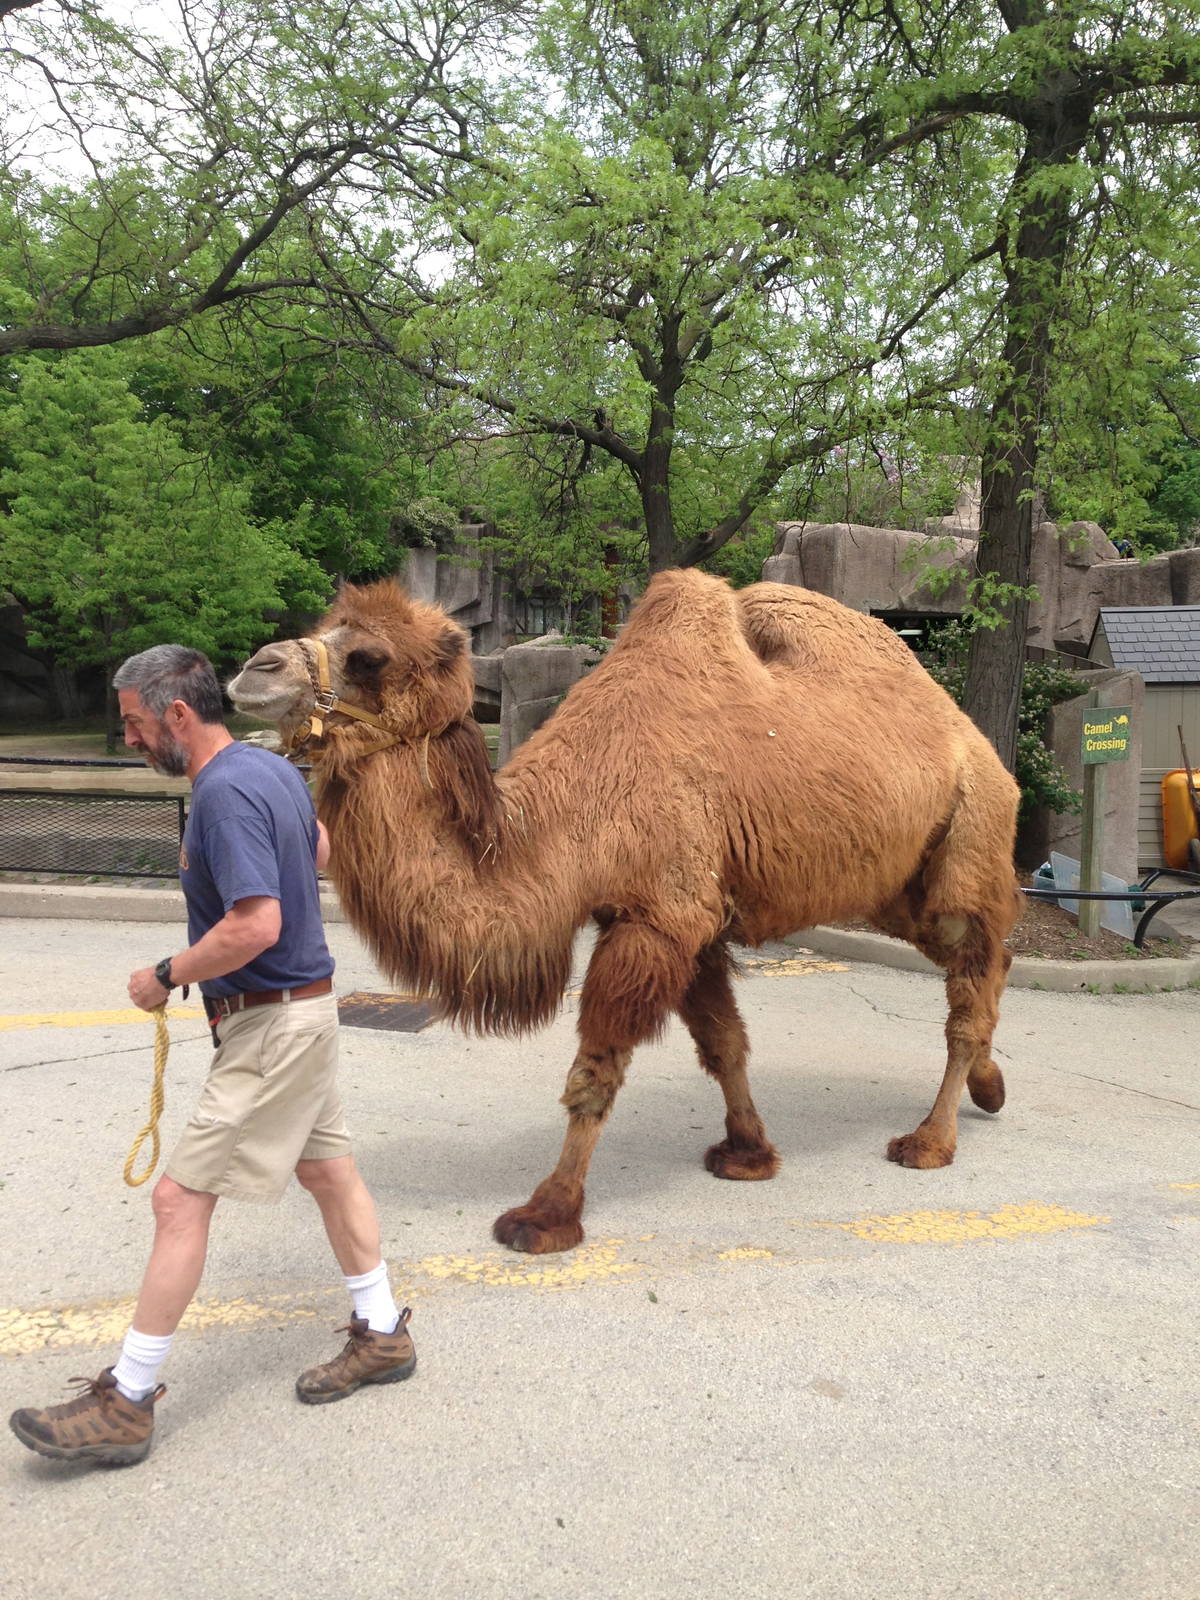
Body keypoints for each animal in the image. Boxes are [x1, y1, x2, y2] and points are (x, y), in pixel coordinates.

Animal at [228, 569, 1021, 1255]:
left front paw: (546, 1213)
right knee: (985, 962)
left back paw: (929, 1141)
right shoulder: (688, 921)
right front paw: (749, 1152)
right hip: (897, 887)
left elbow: (595, 1074)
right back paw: (990, 1087)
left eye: (369, 656)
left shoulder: (659, 916)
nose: (254, 669)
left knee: (972, 977)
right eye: (322, 629)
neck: (576, 808)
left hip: (971, 833)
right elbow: (724, 1044)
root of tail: (973, 737)